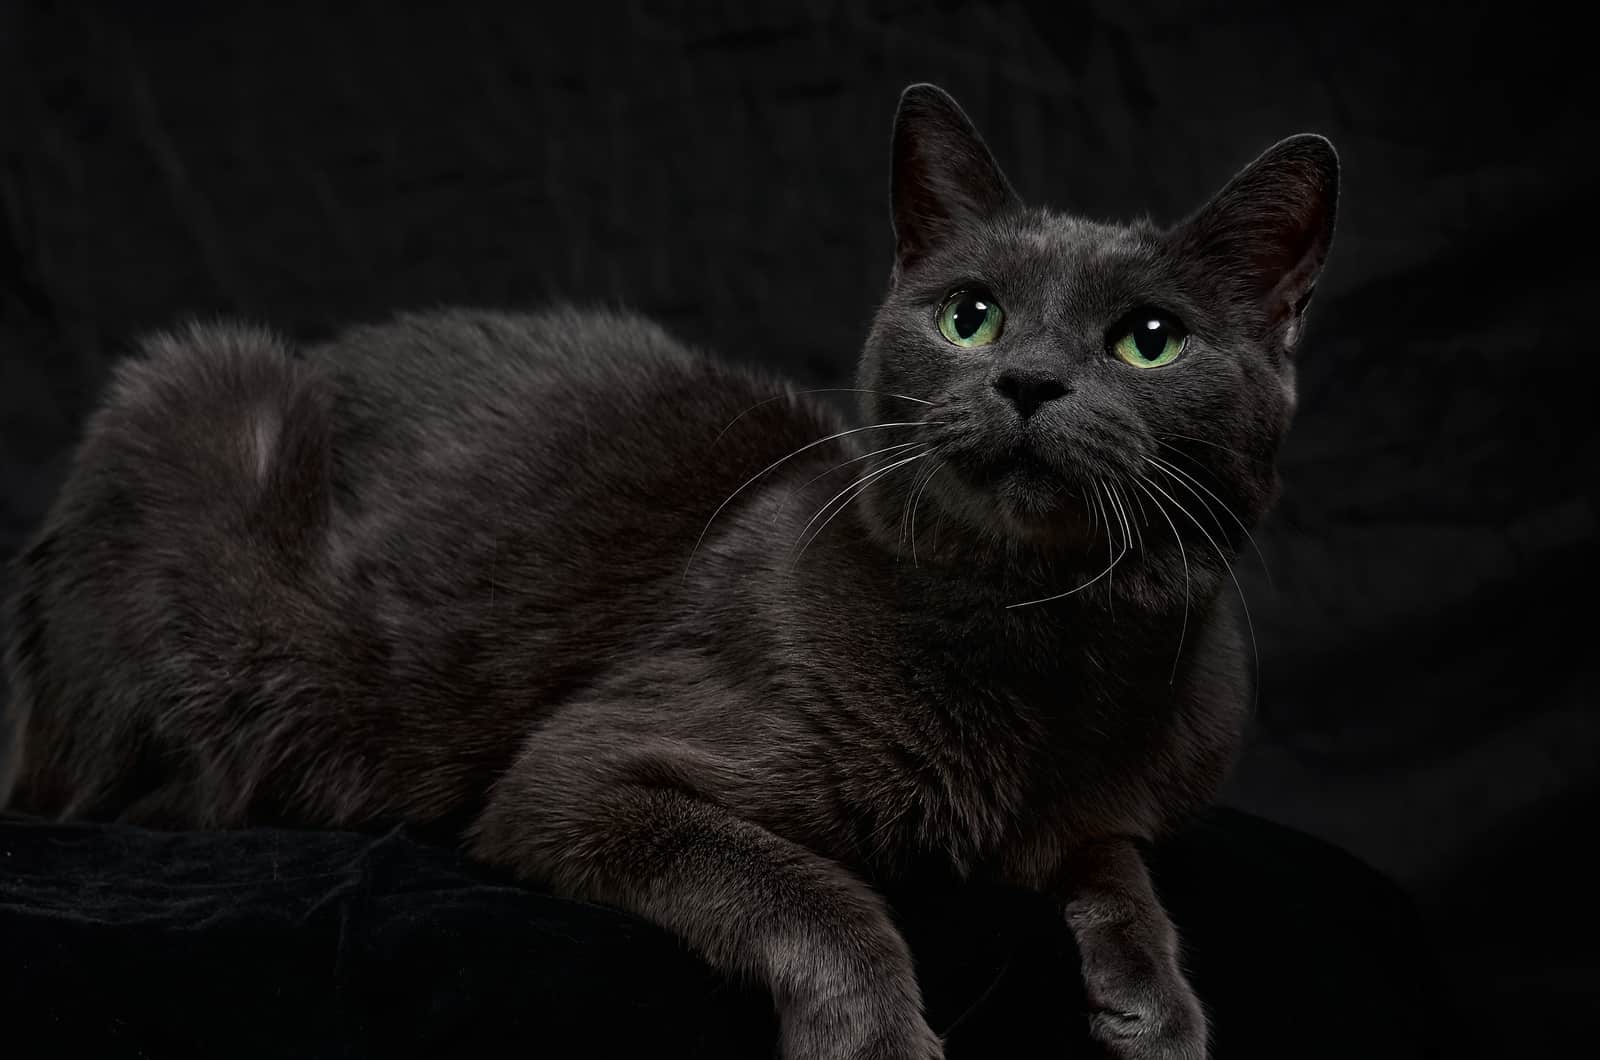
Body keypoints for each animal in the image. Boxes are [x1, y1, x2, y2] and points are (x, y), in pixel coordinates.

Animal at [3, 85, 1337, 1060]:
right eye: (970, 316)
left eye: (1149, 340)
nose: (1026, 381)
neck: (1043, 644)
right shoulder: (581, 772)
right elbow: (807, 885)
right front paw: (875, 1040)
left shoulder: (1113, 800)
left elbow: (1115, 858)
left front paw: (1154, 1005)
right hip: (200, 405)